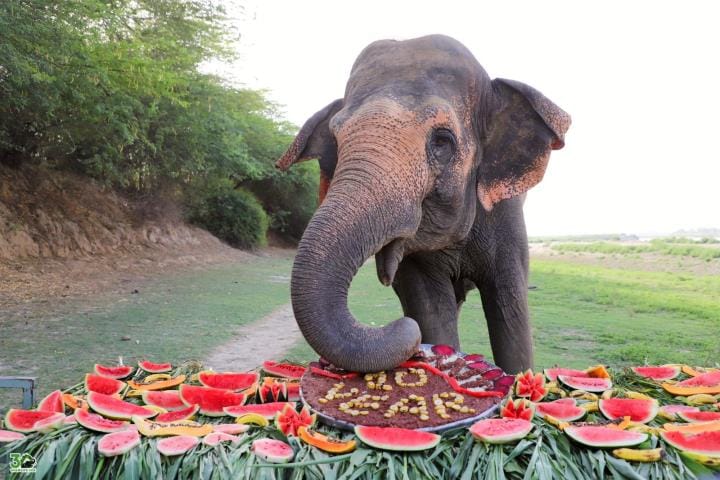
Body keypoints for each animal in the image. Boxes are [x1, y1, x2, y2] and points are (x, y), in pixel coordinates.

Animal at [276, 34, 570, 374]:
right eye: (335, 143)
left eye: (442, 141)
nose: (402, 327)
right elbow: (432, 311)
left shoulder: (506, 216)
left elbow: (510, 313)